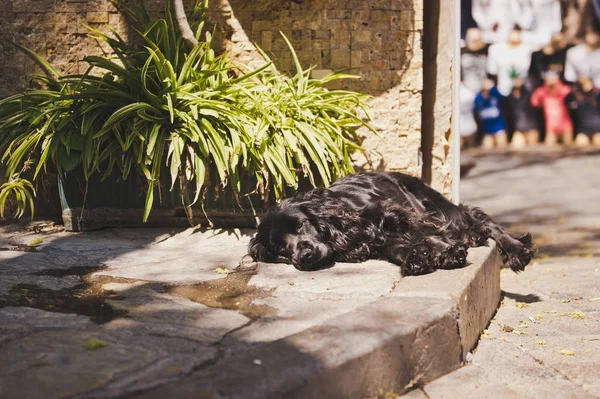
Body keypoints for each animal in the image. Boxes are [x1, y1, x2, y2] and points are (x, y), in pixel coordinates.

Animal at [248, 172, 536, 278]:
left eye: (299, 226)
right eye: (279, 248)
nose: (304, 256)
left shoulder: (395, 213)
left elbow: (424, 233)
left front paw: (447, 252)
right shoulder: (378, 240)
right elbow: (399, 248)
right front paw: (417, 259)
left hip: (435, 205)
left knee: (479, 218)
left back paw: (517, 250)